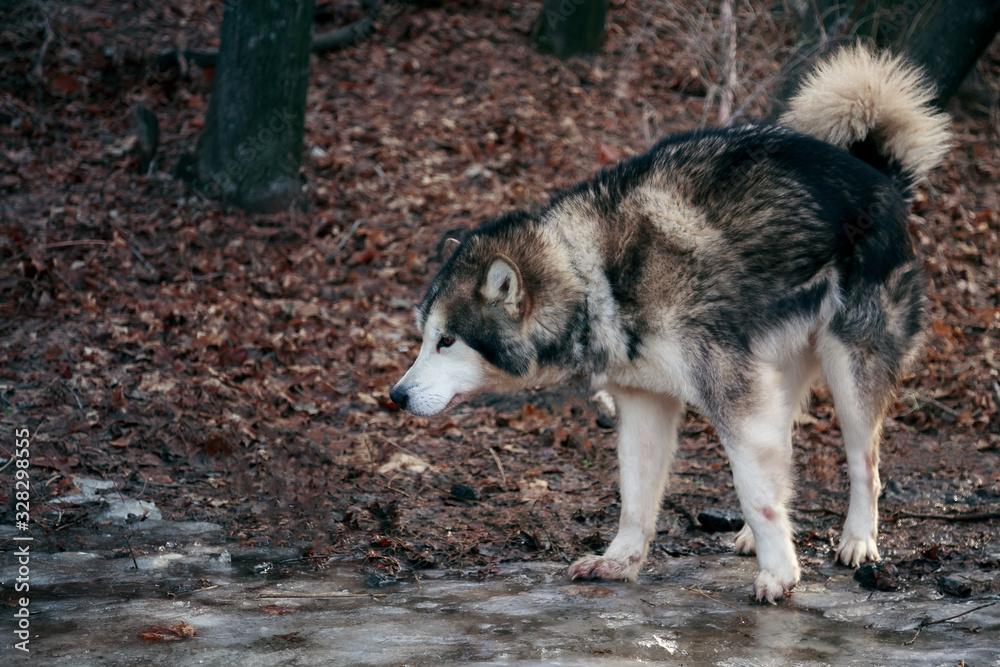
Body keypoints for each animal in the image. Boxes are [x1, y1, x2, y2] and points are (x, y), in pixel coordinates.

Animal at [386, 44, 948, 604]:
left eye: (447, 340)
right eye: (424, 338)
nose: (396, 396)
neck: (595, 276)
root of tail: (882, 176)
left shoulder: (732, 397)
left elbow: (755, 490)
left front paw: (781, 575)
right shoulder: (644, 404)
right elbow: (637, 500)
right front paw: (620, 562)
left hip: (848, 374)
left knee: (864, 465)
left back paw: (857, 541)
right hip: (777, 380)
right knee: (783, 456)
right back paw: (754, 537)